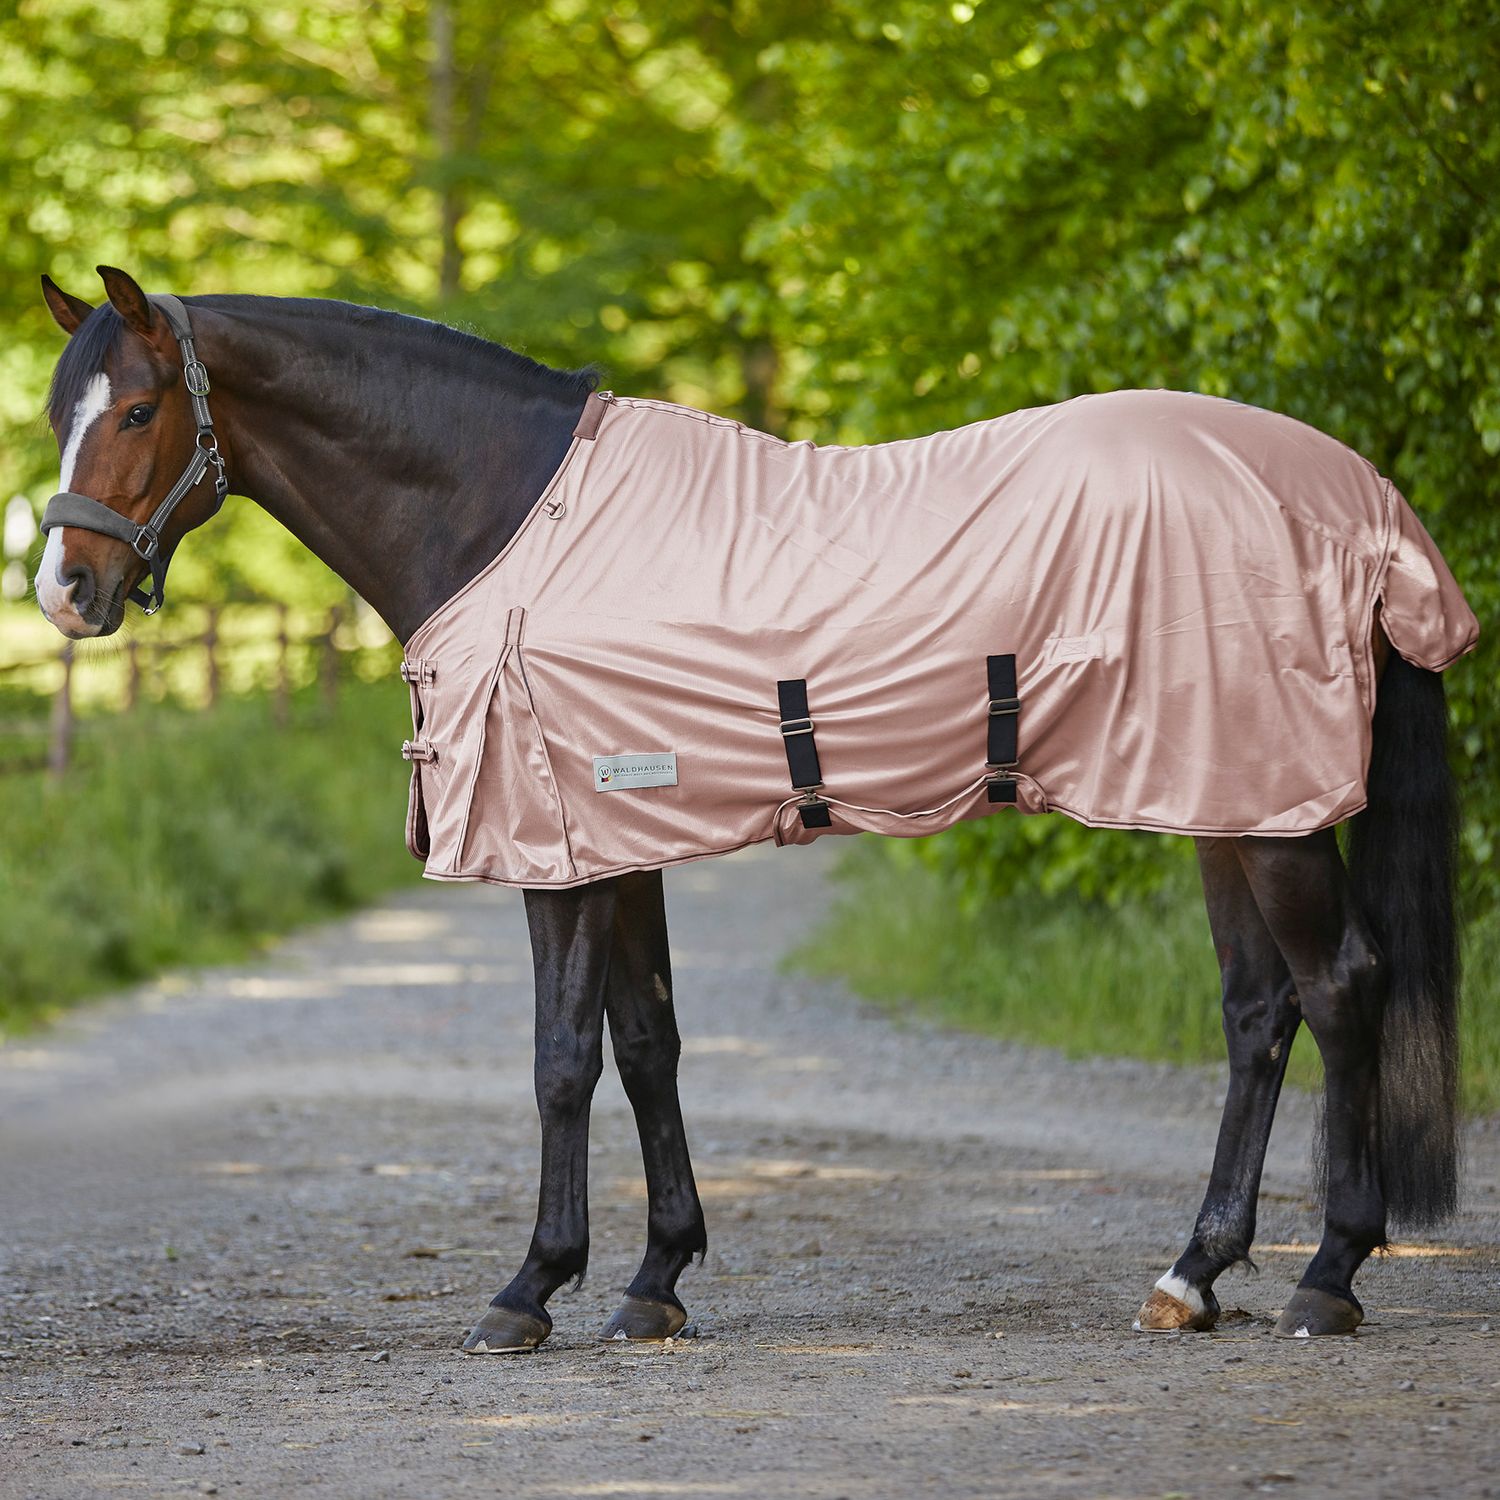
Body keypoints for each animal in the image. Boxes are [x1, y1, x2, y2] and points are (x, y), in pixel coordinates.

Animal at [32, 267, 1464, 1350]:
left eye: (142, 407)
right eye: (60, 409)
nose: (64, 591)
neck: (508, 515)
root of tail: (1360, 502)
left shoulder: (560, 853)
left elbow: (562, 1060)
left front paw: (529, 1289)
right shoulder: (622, 843)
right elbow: (647, 1044)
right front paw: (654, 1282)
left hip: (1271, 813)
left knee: (1340, 985)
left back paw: (1327, 1278)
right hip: (1225, 793)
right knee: (1259, 1010)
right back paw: (1194, 1275)